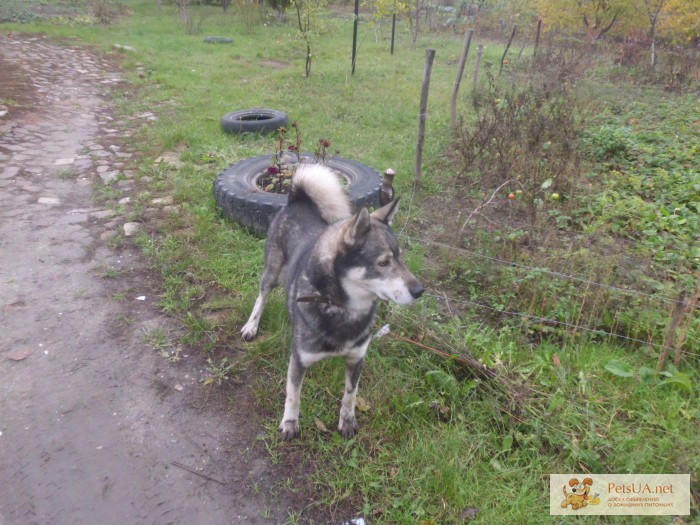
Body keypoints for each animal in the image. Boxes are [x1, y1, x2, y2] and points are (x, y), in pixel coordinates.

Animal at [243, 163, 424, 438]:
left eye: (401, 258)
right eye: (383, 263)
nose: (419, 290)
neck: (342, 309)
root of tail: (297, 200)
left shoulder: (356, 359)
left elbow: (351, 395)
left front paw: (347, 421)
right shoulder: (299, 360)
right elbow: (293, 395)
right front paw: (290, 423)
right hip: (271, 272)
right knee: (261, 297)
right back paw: (251, 325)